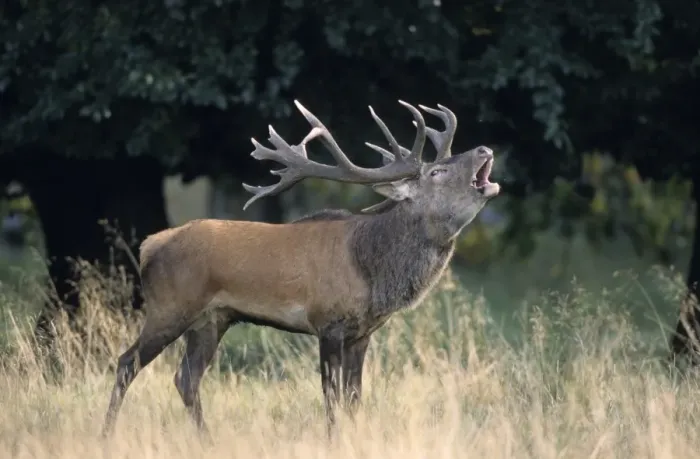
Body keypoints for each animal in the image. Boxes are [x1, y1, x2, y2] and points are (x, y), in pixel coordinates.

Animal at [101, 99, 500, 438]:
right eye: (437, 171)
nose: (484, 149)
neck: (372, 270)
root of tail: (149, 245)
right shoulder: (328, 321)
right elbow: (332, 398)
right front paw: (334, 439)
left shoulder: (363, 333)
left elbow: (354, 397)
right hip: (170, 307)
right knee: (126, 363)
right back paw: (107, 435)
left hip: (211, 320)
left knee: (186, 378)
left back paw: (206, 440)